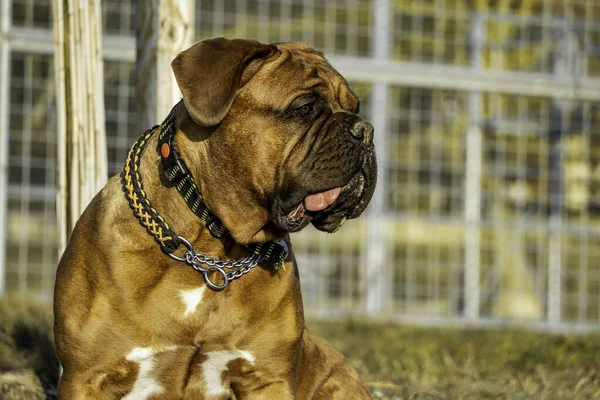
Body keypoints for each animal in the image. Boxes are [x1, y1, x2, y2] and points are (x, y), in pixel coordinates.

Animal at [55, 38, 376, 400]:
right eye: (304, 108)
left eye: (355, 107)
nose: (365, 130)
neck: (211, 249)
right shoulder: (86, 377)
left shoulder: (268, 378)